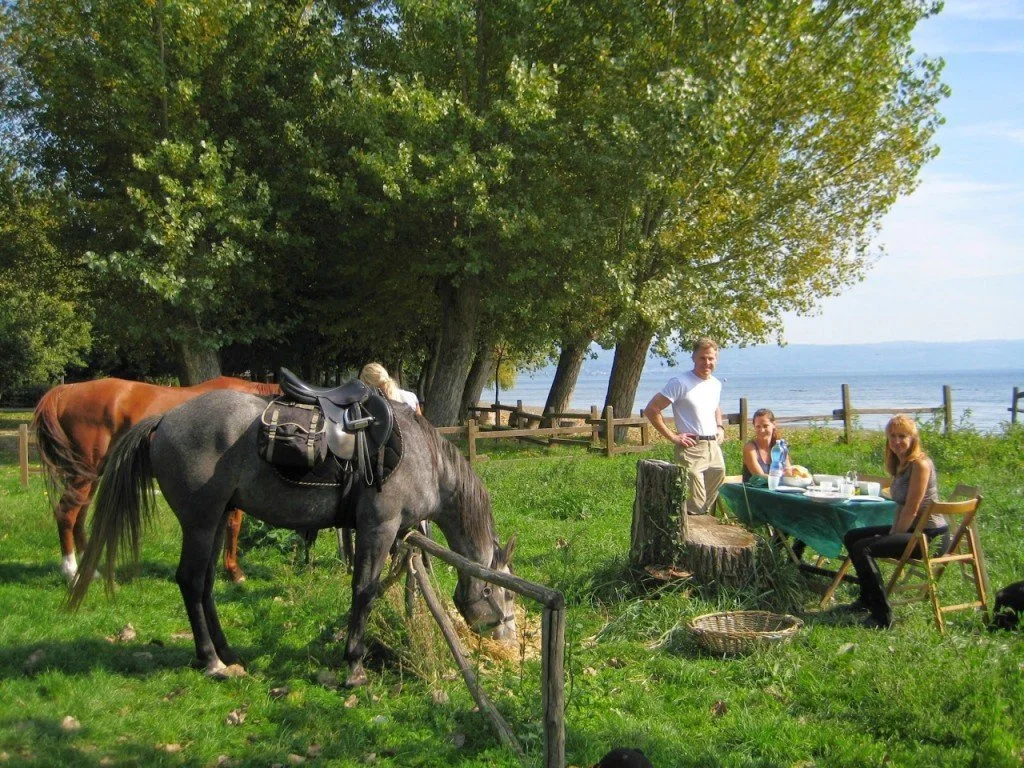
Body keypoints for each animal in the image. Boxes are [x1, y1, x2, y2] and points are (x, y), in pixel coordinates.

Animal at [33, 376, 280, 583]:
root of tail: (66, 391)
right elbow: (233, 526)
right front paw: (234, 572)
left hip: (91, 476)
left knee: (79, 517)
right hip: (84, 473)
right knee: (66, 514)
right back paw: (71, 572)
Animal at [69, 389, 517, 687]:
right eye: (503, 594)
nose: (507, 638)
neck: (425, 458)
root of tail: (166, 419)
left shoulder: (398, 534)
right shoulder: (378, 527)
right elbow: (364, 591)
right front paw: (354, 666)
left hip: (215, 521)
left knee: (207, 584)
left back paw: (228, 653)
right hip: (200, 521)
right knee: (191, 582)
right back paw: (211, 661)